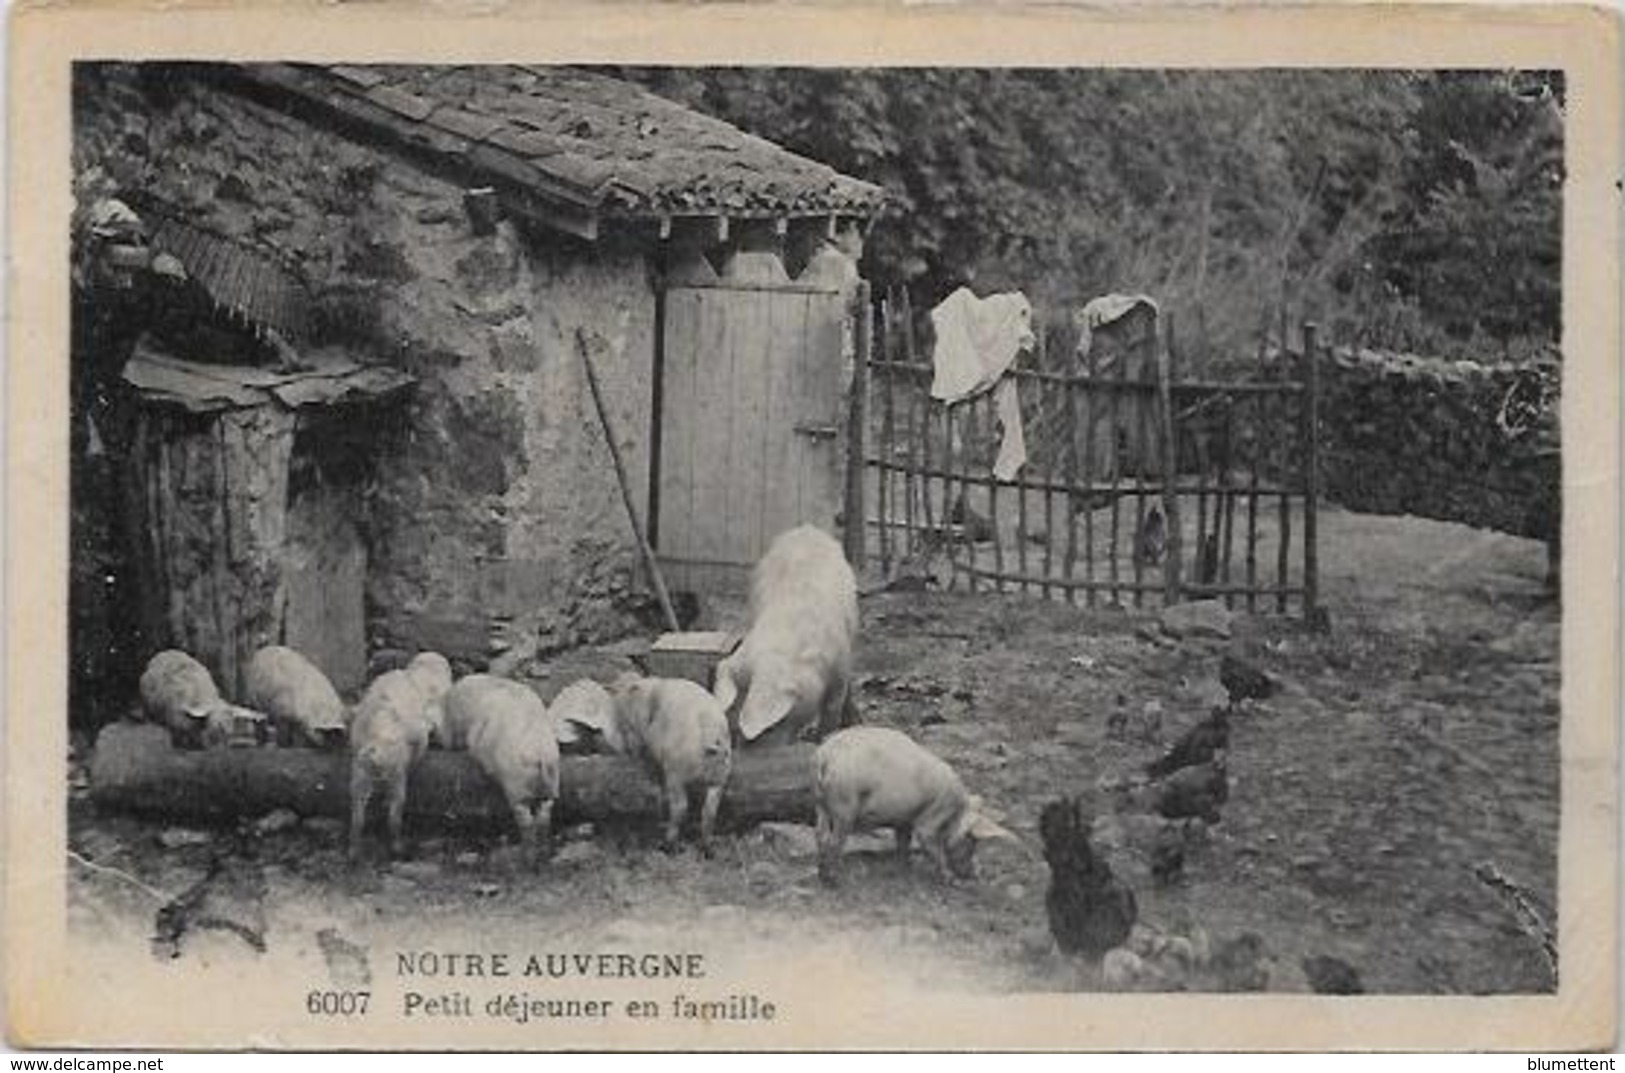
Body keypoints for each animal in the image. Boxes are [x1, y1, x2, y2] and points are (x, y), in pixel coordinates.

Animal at [442, 676, 562, 864]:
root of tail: (540, 754)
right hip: (552, 784)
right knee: (544, 815)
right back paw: (543, 854)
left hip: (517, 789)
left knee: (526, 821)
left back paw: (527, 858)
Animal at [809, 725, 1014, 884]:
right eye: (971, 842)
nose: (978, 873)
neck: (957, 812)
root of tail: (825, 757)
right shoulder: (932, 818)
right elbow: (930, 844)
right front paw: (950, 880)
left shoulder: (904, 819)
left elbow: (903, 842)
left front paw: (905, 868)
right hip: (844, 805)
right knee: (834, 840)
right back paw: (835, 879)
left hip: (821, 803)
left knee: (820, 834)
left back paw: (822, 875)